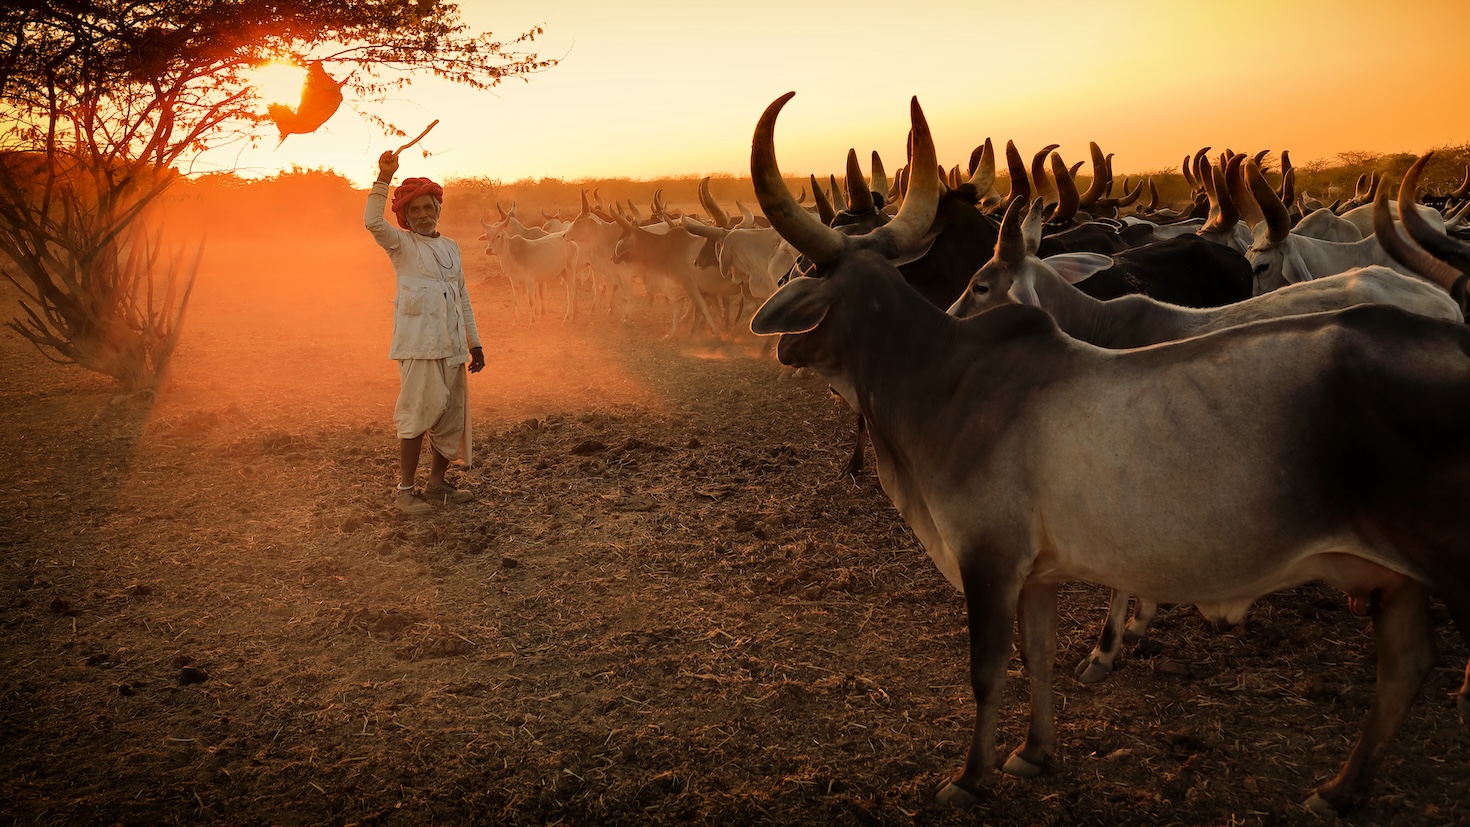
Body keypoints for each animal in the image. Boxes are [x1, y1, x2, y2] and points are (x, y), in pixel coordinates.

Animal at [752, 88, 1470, 816]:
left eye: (812, 272)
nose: (779, 342)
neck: (944, 373)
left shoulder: (989, 561)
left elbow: (988, 669)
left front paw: (971, 776)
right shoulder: (1036, 575)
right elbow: (1036, 657)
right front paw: (1035, 752)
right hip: (1400, 577)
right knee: (1405, 667)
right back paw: (1340, 790)